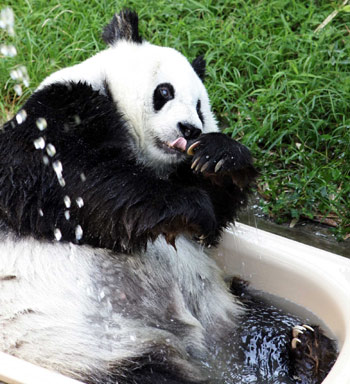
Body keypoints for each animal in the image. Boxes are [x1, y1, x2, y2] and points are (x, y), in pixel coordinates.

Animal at [0, 9, 336, 384]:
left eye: (201, 107)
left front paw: (221, 158)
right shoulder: (58, 111)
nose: (189, 129)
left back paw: (307, 350)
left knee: (259, 318)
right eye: (164, 91)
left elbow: (213, 219)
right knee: (148, 372)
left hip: (227, 305)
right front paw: (190, 205)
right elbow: (68, 178)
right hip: (86, 347)